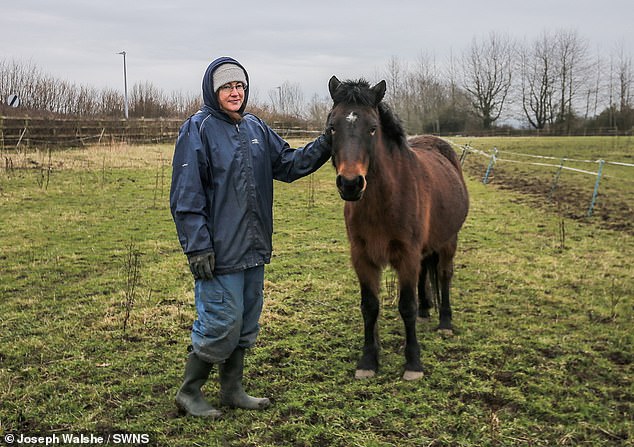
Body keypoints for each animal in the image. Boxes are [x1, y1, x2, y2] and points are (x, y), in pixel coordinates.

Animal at [328, 77, 466, 382]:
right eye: (332, 127)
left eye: (372, 128)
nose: (351, 184)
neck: (385, 200)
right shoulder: (363, 257)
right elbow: (369, 307)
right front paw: (368, 360)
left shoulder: (407, 255)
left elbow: (406, 306)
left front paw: (413, 363)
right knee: (426, 274)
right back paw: (427, 311)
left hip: (449, 241)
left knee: (443, 274)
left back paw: (445, 322)